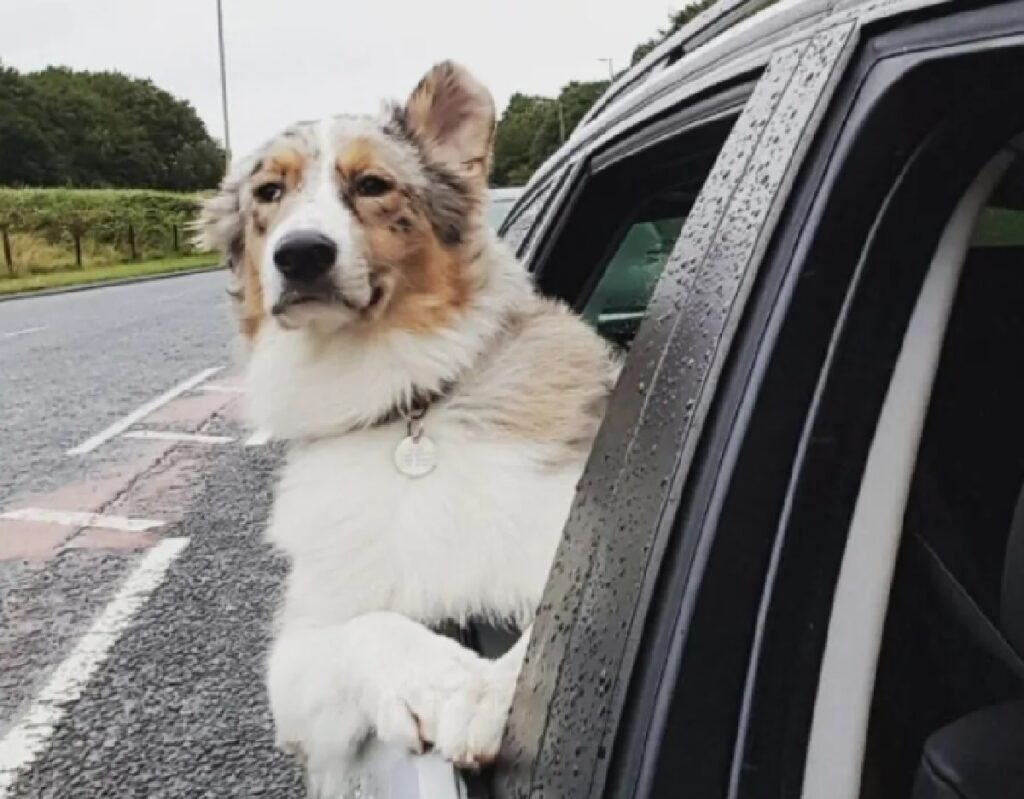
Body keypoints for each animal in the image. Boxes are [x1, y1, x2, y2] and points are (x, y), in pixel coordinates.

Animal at [196, 60, 618, 790]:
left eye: (372, 185)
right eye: (269, 192)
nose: (300, 255)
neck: (406, 407)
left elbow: (561, 615)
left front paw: (490, 693)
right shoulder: (300, 653)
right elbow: (367, 627)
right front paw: (446, 683)